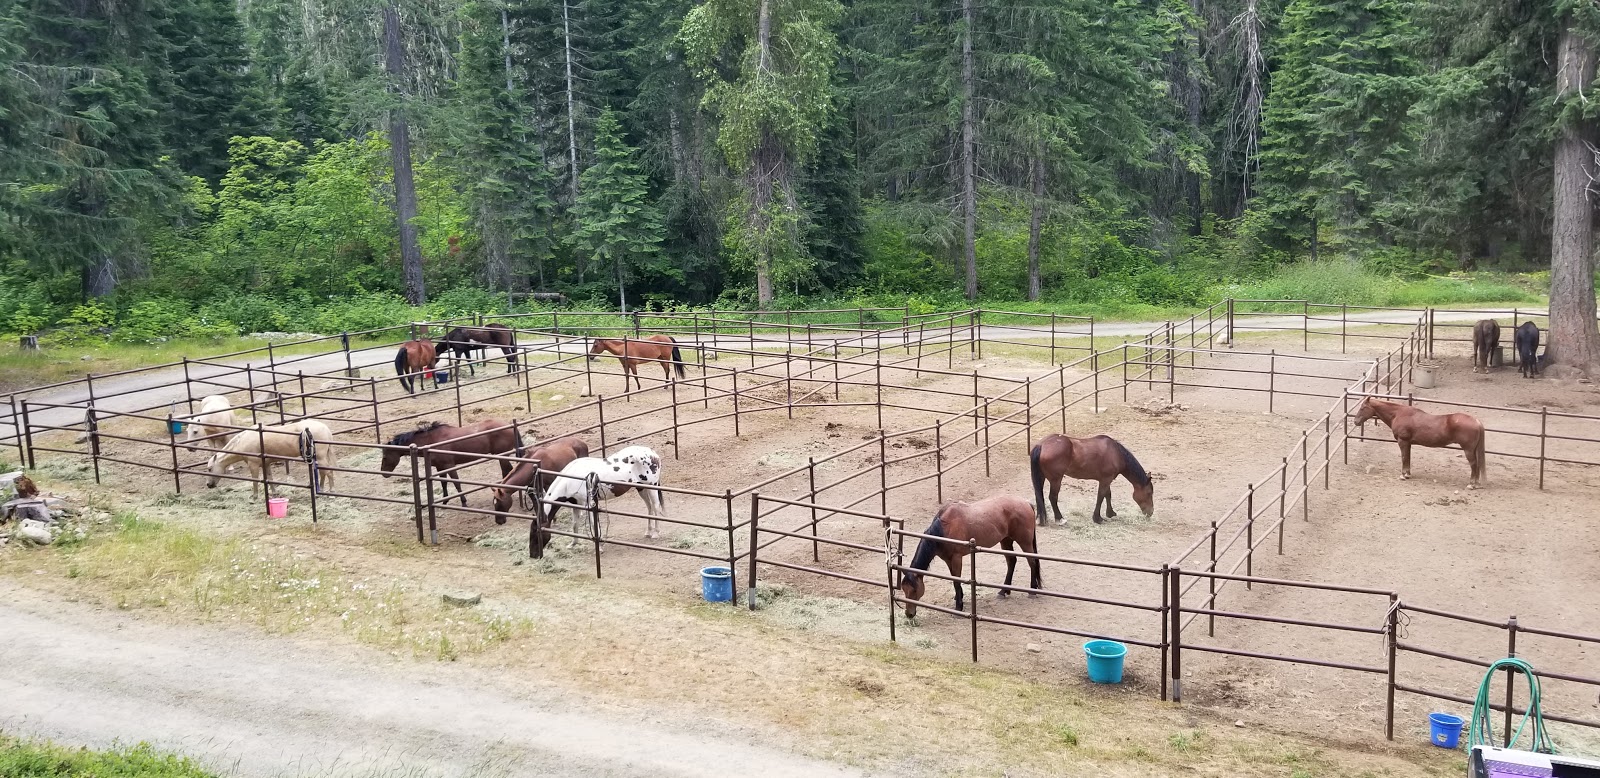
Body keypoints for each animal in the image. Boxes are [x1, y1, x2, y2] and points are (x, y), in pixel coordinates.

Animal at [205, 420, 338, 497]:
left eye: (210, 468)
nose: (208, 484)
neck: (243, 441)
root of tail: (325, 428)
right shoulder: (266, 463)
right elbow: (269, 478)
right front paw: (274, 493)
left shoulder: (253, 465)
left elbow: (255, 480)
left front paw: (254, 497)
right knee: (323, 472)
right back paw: (320, 491)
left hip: (320, 457)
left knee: (328, 472)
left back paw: (331, 491)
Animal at [380, 420, 523, 506]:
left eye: (385, 457)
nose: (383, 473)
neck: (432, 440)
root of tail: (510, 426)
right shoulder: (440, 467)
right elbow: (444, 483)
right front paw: (445, 501)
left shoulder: (449, 465)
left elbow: (456, 483)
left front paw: (464, 502)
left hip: (502, 456)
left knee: (507, 471)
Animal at [532, 445, 666, 558]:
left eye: (536, 533)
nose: (533, 555)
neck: (570, 479)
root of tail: (653, 454)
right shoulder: (576, 503)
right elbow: (575, 524)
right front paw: (573, 544)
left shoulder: (589, 503)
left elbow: (593, 524)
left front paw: (600, 546)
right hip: (641, 488)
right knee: (649, 507)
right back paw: (648, 532)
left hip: (652, 486)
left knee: (655, 506)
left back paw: (656, 533)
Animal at [897, 496, 1040, 618]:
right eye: (904, 589)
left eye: (914, 590)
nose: (909, 614)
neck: (944, 528)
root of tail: (1026, 503)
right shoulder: (948, 560)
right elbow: (954, 580)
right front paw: (958, 598)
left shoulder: (956, 558)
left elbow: (956, 581)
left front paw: (958, 607)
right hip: (1006, 541)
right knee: (1011, 561)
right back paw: (1003, 591)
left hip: (1025, 542)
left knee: (1032, 562)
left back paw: (1032, 590)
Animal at [1353, 397, 1487, 488]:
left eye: (1363, 408)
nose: (1355, 421)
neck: (1398, 414)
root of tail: (1476, 421)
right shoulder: (1408, 443)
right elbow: (1407, 457)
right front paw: (1408, 474)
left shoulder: (1402, 441)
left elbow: (1404, 457)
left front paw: (1403, 475)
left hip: (1468, 450)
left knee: (1474, 464)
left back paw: (1471, 484)